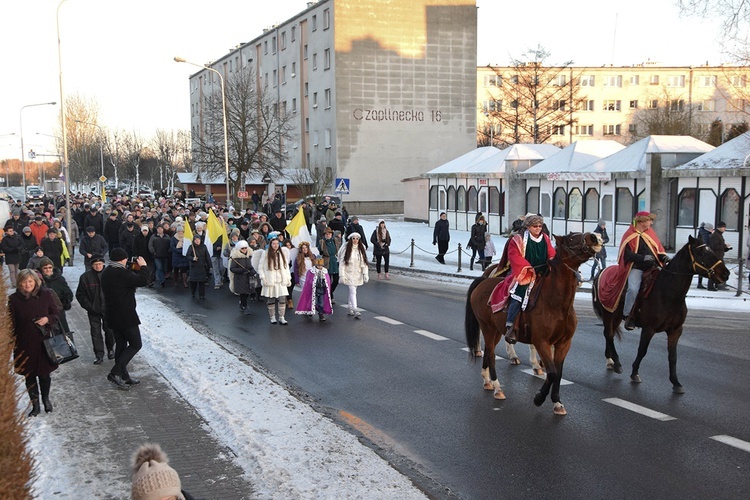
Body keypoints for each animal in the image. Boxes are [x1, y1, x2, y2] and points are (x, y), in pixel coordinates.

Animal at [464, 230, 604, 414]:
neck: (557, 304)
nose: (595, 237)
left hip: (496, 331)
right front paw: (539, 398)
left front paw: (557, 402)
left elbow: (558, 373)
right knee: (491, 355)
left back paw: (488, 381)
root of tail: (483, 280)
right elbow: (552, 372)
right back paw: (497, 387)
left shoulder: (564, 343)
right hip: (488, 328)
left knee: (489, 352)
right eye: (572, 238)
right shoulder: (541, 342)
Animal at [592, 235, 728, 394]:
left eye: (711, 250)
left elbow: (673, 357)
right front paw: (634, 373)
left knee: (610, 334)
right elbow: (642, 351)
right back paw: (617, 363)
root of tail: (601, 271)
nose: (725, 274)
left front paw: (676, 382)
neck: (669, 293)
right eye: (702, 254)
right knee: (609, 334)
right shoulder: (648, 329)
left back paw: (611, 361)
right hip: (609, 313)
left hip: (617, 315)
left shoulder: (675, 331)